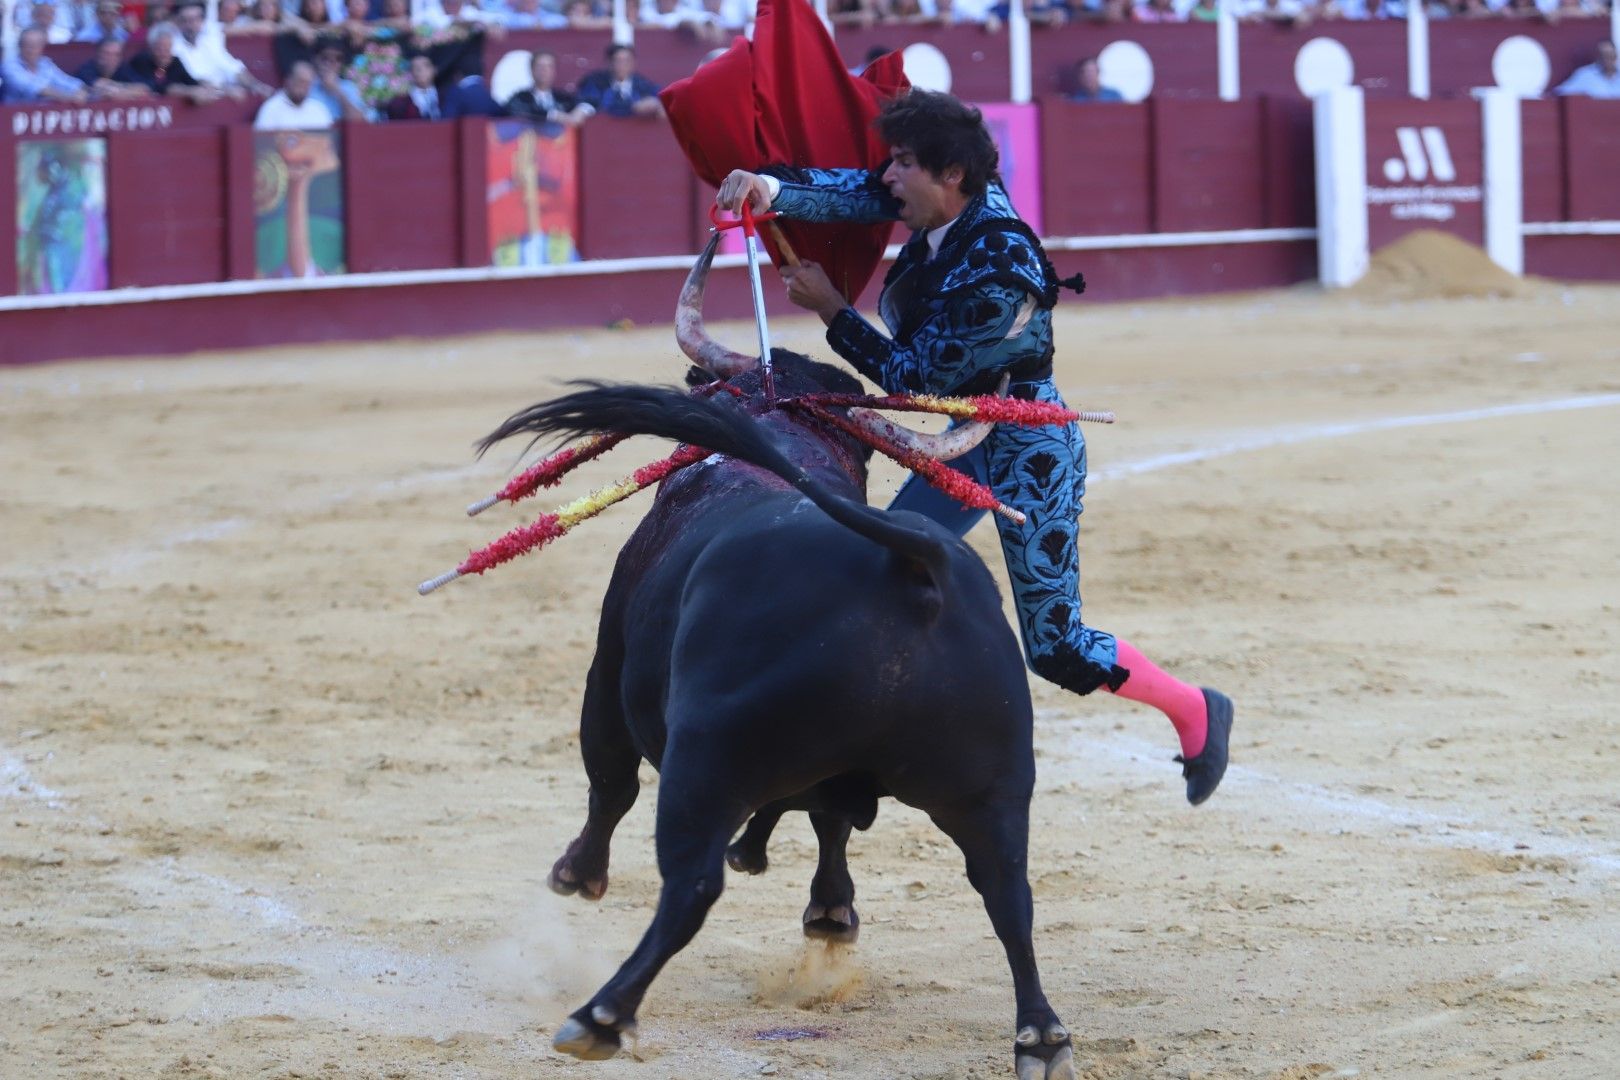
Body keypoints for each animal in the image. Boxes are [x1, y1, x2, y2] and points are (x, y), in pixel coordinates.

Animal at [486, 352, 1082, 1075]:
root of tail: (916, 563)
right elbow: (829, 821)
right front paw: (825, 909)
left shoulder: (607, 674)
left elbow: (611, 784)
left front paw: (578, 875)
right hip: (994, 786)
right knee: (1008, 891)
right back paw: (1042, 1036)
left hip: (705, 762)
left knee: (689, 886)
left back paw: (601, 1016)